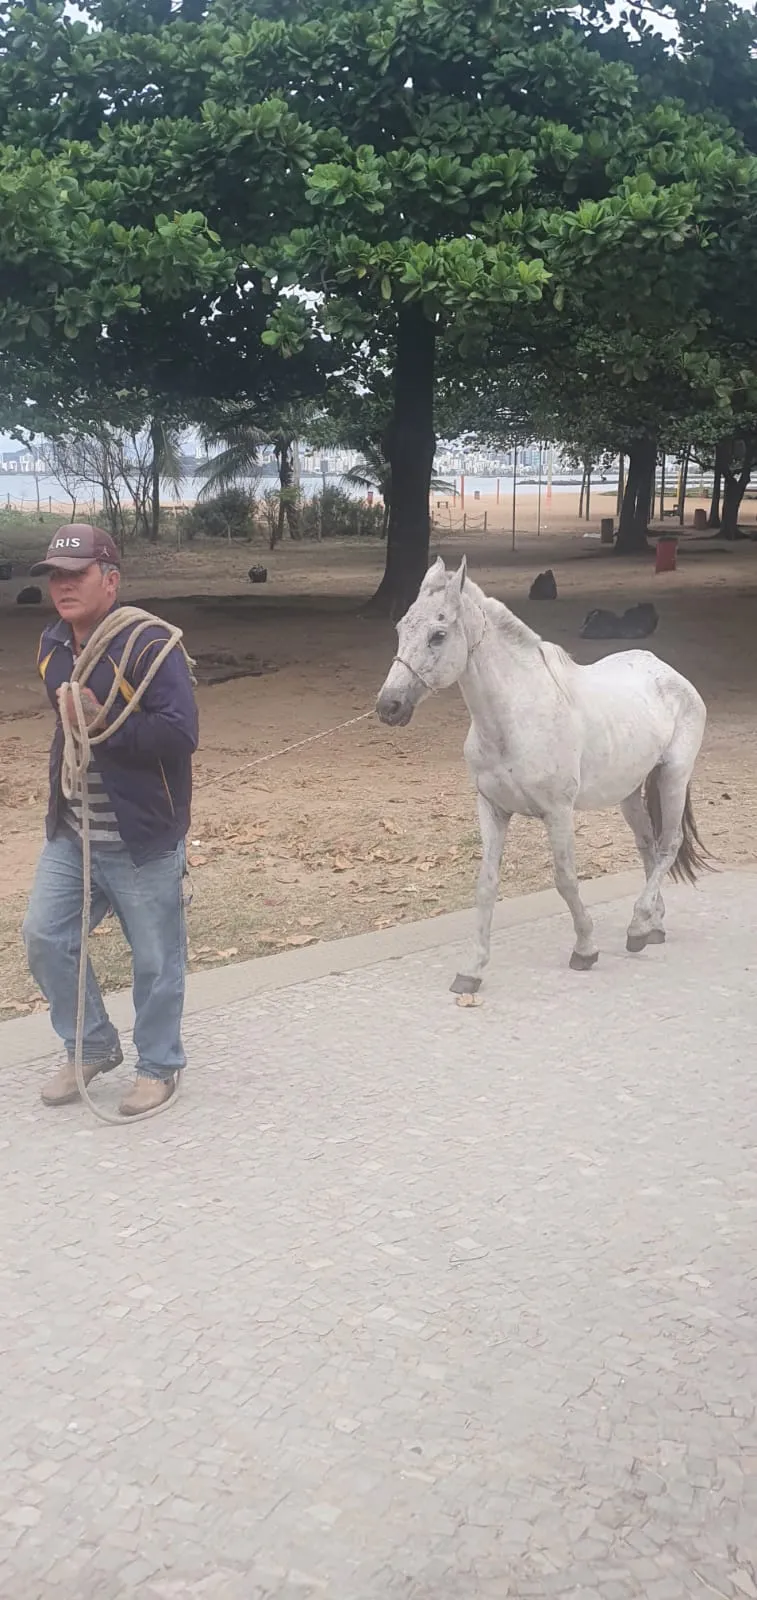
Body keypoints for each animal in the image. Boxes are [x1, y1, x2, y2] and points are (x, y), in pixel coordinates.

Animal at [377, 560, 707, 985]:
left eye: (438, 635)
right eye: (401, 628)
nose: (389, 705)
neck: (514, 720)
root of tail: (667, 672)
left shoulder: (558, 812)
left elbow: (566, 880)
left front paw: (585, 948)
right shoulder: (492, 809)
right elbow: (486, 885)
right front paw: (472, 969)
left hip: (673, 776)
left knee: (669, 844)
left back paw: (637, 926)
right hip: (629, 793)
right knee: (648, 846)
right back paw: (653, 925)